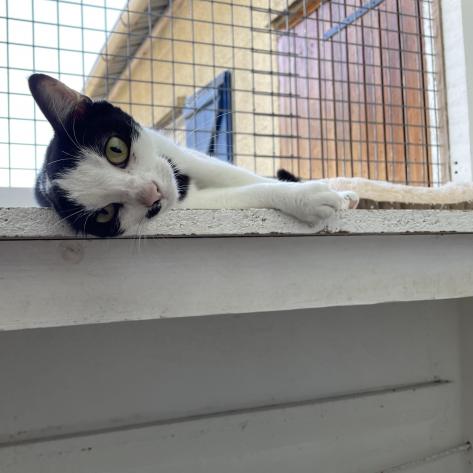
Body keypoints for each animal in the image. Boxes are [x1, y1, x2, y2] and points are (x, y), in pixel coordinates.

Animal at [29, 73, 359, 237]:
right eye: (106, 214)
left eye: (115, 149)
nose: (153, 193)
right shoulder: (189, 202)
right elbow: (246, 192)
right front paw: (309, 198)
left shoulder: (179, 152)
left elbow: (238, 174)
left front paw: (340, 193)